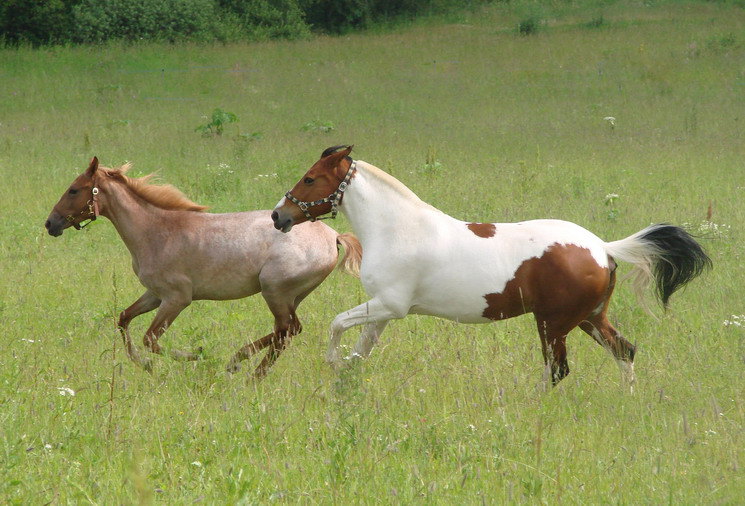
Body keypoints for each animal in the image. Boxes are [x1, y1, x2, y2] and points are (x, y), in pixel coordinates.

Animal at [45, 156, 362, 378]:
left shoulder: (176, 299)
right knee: (287, 331)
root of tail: (333, 235)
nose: (50, 223)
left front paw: (195, 355)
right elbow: (124, 319)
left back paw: (245, 369)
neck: (156, 231)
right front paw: (144, 365)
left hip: (275, 291)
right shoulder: (154, 295)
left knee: (286, 330)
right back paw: (241, 364)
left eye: (73, 190)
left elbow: (151, 339)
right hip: (290, 296)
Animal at [272, 146, 708, 388]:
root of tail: (602, 247)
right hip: (589, 319)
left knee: (558, 370)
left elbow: (336, 324)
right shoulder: (383, 310)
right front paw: (345, 382)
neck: (397, 228)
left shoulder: (390, 305)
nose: (279, 216)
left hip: (553, 324)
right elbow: (360, 352)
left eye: (310, 178)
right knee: (625, 352)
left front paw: (332, 363)